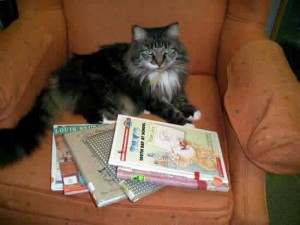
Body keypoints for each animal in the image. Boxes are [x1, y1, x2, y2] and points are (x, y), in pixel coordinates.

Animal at [1, 22, 202, 167]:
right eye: (150, 53)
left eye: (167, 51)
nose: (159, 63)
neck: (162, 74)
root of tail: (62, 75)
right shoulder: (151, 97)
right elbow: (169, 110)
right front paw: (186, 124)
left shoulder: (176, 86)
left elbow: (181, 101)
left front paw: (193, 112)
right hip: (102, 88)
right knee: (92, 115)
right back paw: (117, 121)